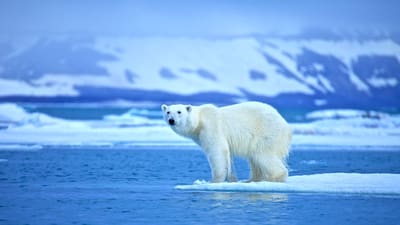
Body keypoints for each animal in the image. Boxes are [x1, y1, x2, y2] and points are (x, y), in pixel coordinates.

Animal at [161, 102, 292, 183]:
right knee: (254, 159)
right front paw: (232, 179)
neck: (199, 122)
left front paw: (214, 181)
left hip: (266, 133)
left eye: (179, 112)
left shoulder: (211, 128)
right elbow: (228, 156)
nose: (171, 120)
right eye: (168, 112)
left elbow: (217, 152)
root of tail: (285, 125)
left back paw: (273, 179)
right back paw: (251, 180)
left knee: (263, 155)